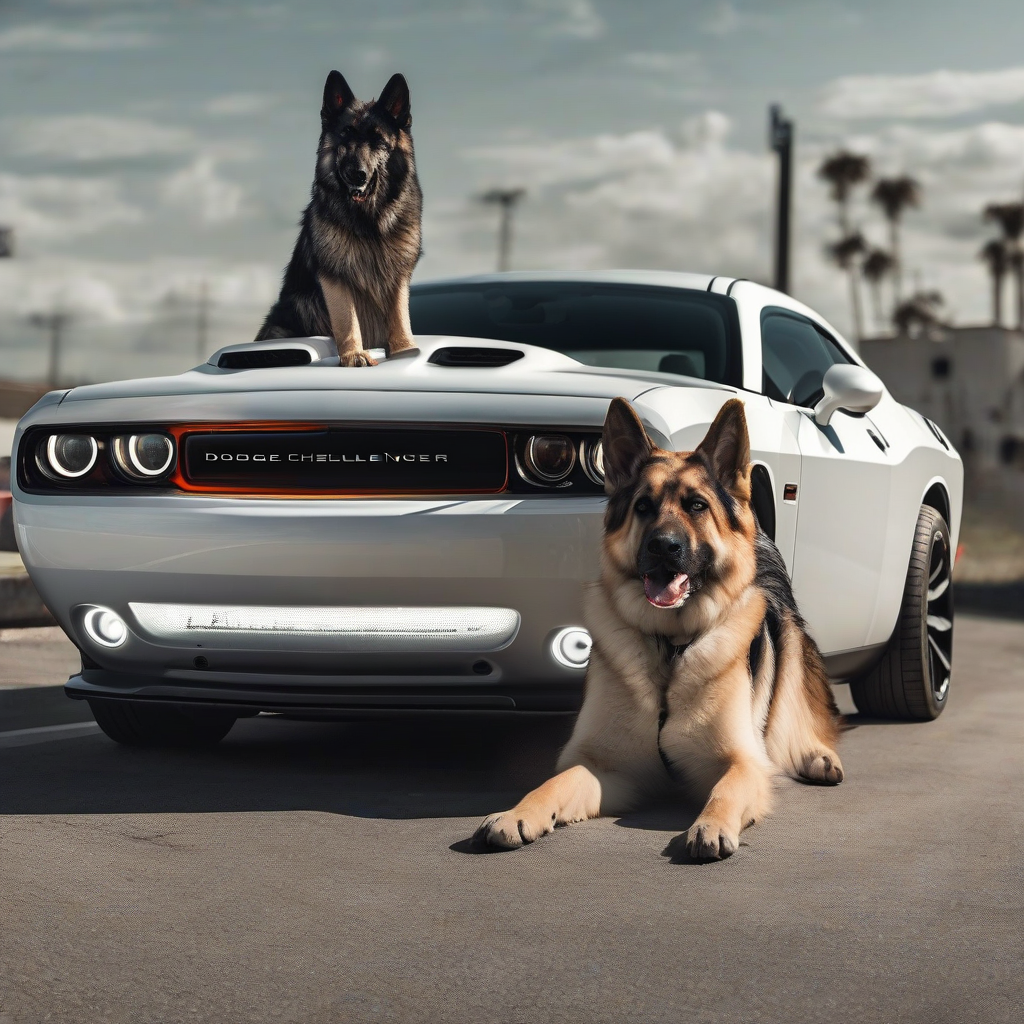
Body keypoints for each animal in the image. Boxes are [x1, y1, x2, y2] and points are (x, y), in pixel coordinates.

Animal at [258, 69, 421, 364]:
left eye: (378, 140)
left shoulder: (398, 273)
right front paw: (354, 354)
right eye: (345, 135)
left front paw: (405, 349)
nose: (356, 174)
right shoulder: (335, 276)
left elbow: (399, 315)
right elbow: (347, 320)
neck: (368, 223)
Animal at [475, 395, 843, 860]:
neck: (671, 646)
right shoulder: (603, 766)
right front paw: (517, 813)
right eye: (643, 507)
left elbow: (726, 789)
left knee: (800, 714)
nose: (663, 546)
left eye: (697, 506)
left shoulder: (741, 762)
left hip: (791, 653)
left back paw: (818, 756)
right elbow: (552, 784)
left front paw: (710, 824)